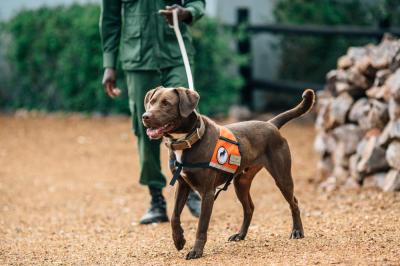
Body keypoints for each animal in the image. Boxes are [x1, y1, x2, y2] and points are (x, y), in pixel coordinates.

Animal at [142, 87, 314, 260]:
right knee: (249, 208)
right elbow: (174, 217)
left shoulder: (207, 193)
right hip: (241, 183)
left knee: (294, 203)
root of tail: (270, 124)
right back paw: (240, 234)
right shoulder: (183, 185)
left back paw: (297, 231)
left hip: (282, 178)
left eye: (166, 103)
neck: (189, 140)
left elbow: (201, 226)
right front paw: (179, 240)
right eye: (151, 101)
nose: (145, 116)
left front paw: (196, 251)